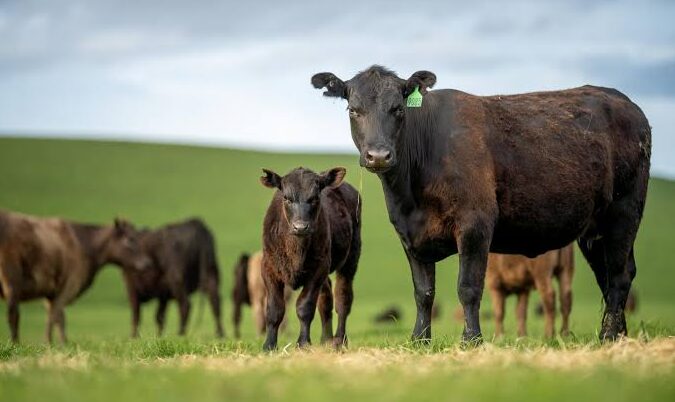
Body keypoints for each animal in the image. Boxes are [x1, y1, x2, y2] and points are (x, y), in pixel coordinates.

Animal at [0, 210, 151, 343]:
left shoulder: (50, 293)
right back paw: (15, 343)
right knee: (13, 315)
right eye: (130, 240)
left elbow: (57, 317)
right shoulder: (68, 286)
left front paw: (60, 343)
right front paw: (52, 343)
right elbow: (56, 317)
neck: (85, 245)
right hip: (12, 281)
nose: (146, 263)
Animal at [260, 167, 361, 350]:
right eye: (286, 198)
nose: (300, 227)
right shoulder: (268, 268)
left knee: (343, 298)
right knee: (326, 299)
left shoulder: (318, 270)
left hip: (350, 259)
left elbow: (305, 307)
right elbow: (274, 309)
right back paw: (326, 339)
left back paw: (339, 340)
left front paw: (303, 343)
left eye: (314, 198)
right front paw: (269, 345)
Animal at [312, 65, 651, 343]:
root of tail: (626, 102)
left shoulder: (475, 225)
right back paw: (619, 335)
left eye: (398, 109)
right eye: (354, 110)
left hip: (624, 212)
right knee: (609, 276)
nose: (379, 155)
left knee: (618, 275)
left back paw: (609, 335)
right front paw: (419, 340)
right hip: (594, 230)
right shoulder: (410, 236)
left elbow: (468, 287)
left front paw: (472, 340)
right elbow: (423, 292)